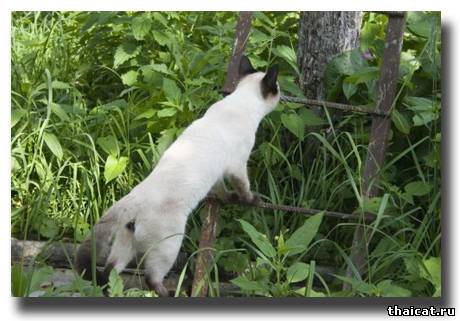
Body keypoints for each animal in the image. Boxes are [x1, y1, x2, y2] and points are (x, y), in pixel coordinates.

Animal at [75, 56, 280, 296]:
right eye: (277, 87)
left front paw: (228, 198)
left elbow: (221, 191)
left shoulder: (218, 175)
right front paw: (252, 200)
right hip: (170, 244)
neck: (242, 101)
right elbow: (244, 189)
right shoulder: (237, 166)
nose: (282, 94)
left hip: (127, 242)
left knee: (111, 270)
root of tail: (135, 197)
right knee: (150, 278)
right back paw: (169, 293)